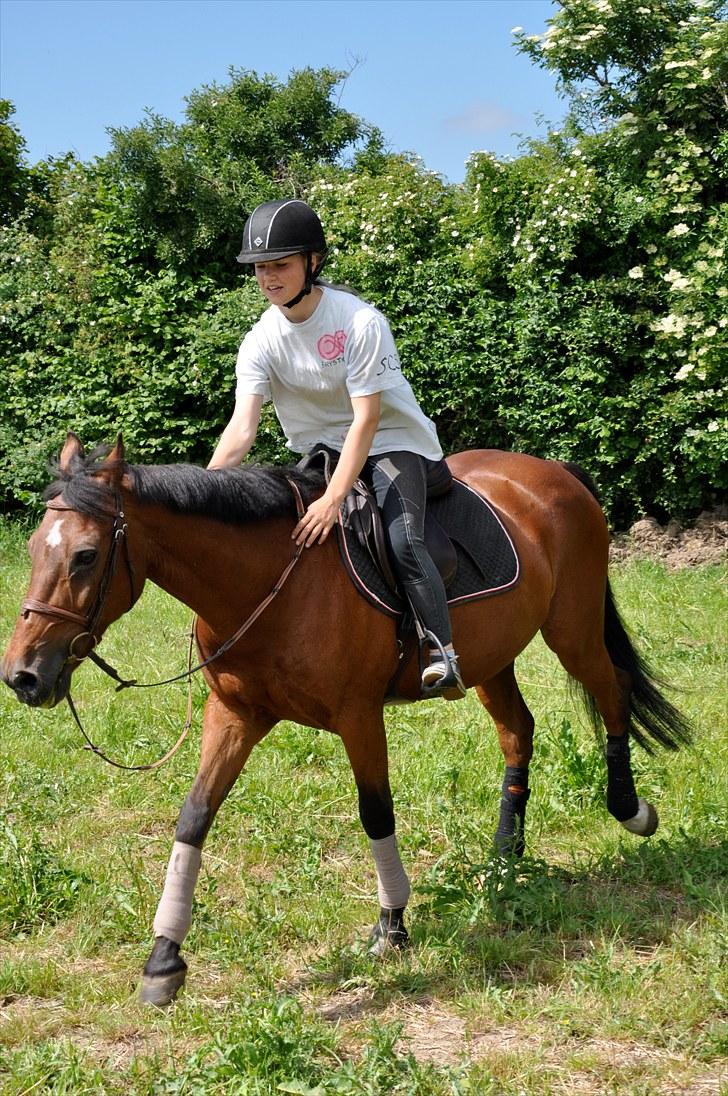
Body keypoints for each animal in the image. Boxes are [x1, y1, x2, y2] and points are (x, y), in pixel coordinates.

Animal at [0, 433, 691, 1006]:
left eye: (85, 556)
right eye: (34, 548)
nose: (22, 675)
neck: (268, 584)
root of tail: (555, 472)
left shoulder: (359, 717)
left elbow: (376, 813)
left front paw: (392, 926)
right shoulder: (235, 715)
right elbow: (194, 816)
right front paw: (164, 960)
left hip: (571, 630)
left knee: (614, 695)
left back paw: (630, 809)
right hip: (493, 658)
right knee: (518, 733)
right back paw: (503, 861)